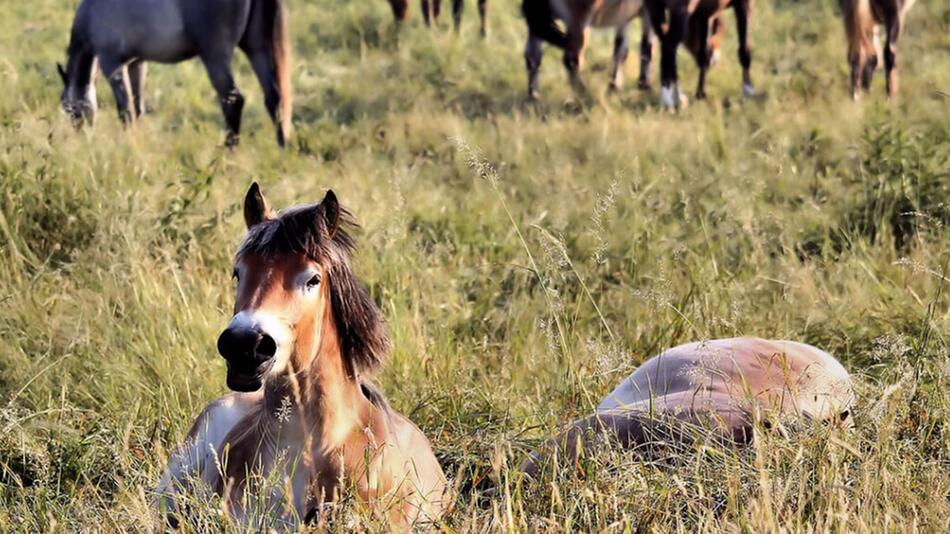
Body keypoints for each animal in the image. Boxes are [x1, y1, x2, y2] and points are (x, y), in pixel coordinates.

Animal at [59, 0, 292, 147]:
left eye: (69, 110)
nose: (82, 139)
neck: (91, 13)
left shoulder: (112, 64)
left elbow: (126, 111)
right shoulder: (137, 64)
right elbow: (137, 107)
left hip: (215, 57)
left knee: (233, 101)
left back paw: (229, 152)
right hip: (257, 49)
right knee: (274, 98)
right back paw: (282, 147)